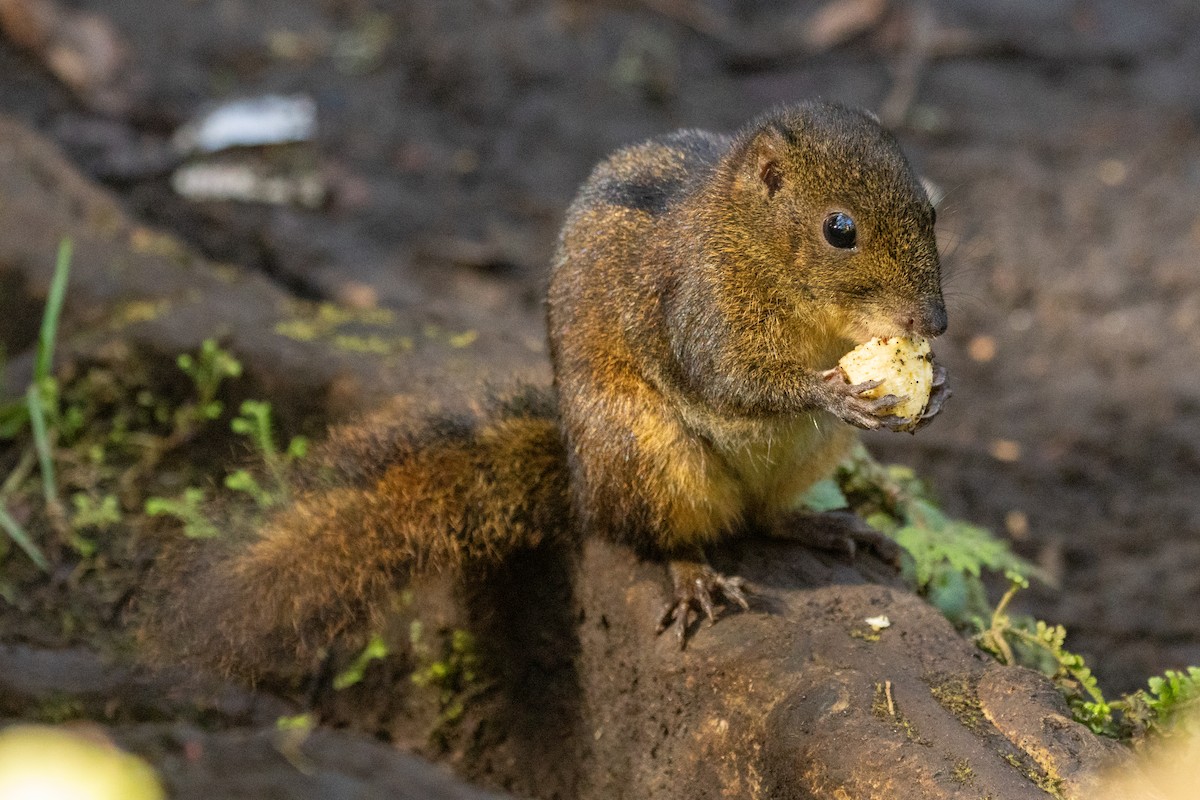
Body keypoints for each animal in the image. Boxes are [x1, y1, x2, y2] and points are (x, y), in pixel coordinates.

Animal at [141, 101, 948, 678]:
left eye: (932, 210)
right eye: (839, 229)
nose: (935, 321)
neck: (749, 242)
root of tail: (580, 482)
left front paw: (937, 387)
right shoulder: (695, 305)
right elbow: (731, 379)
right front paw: (833, 389)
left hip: (796, 459)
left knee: (762, 517)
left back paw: (823, 526)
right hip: (649, 457)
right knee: (662, 535)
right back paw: (694, 578)